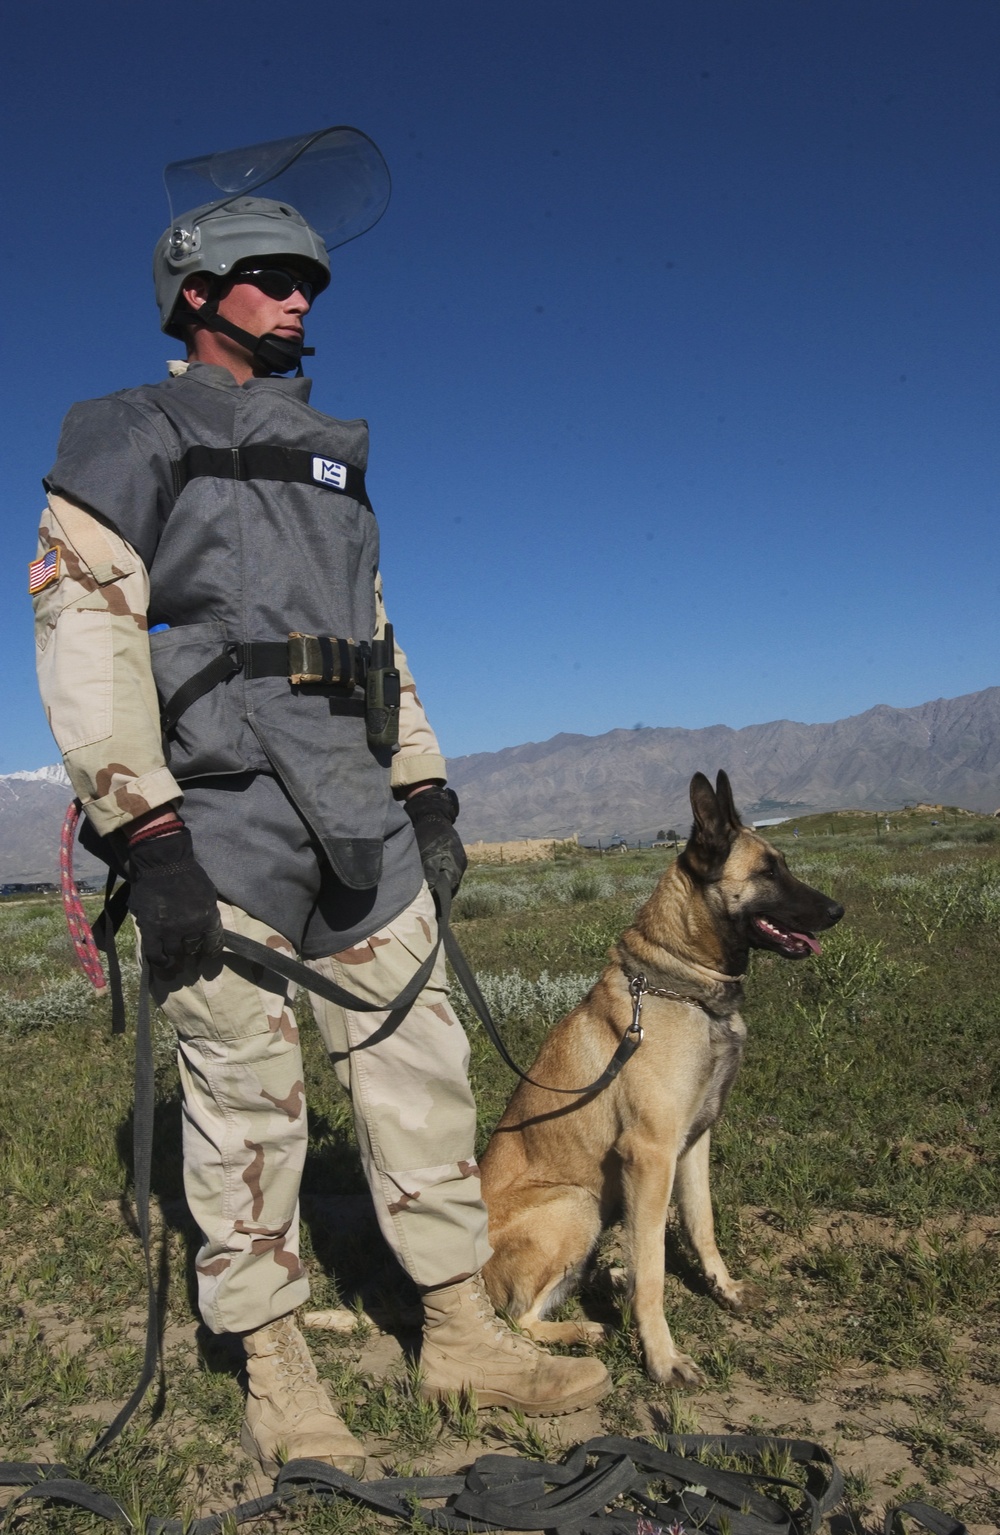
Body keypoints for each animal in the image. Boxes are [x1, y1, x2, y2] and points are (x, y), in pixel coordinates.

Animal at [482, 773, 841, 1387]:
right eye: (768, 872)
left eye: (784, 864)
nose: (838, 909)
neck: (681, 983)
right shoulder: (649, 1156)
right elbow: (652, 1268)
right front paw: (663, 1357)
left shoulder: (692, 1144)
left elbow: (702, 1226)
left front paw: (724, 1289)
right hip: (576, 1204)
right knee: (518, 1318)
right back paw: (586, 1329)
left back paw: (607, 1283)